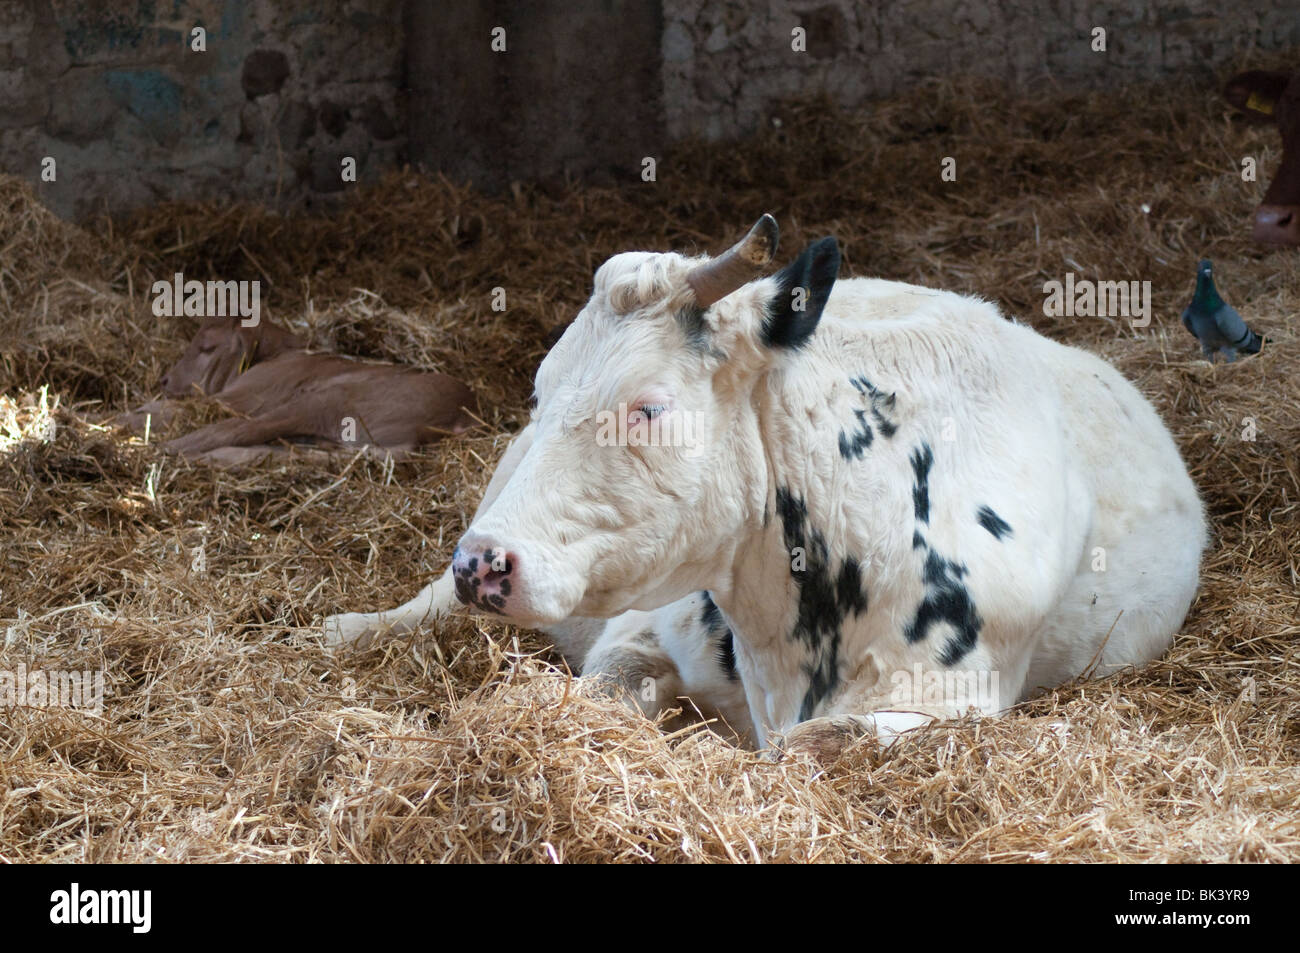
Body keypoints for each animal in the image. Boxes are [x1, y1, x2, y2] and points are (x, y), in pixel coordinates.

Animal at [152, 315, 478, 465]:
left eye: (206, 348)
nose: (165, 380)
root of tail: (463, 414)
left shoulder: (243, 396)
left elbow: (175, 409)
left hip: (326, 400)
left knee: (232, 430)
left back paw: (172, 450)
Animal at [327, 213, 1206, 759]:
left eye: (649, 407)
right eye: (541, 391)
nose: (484, 563)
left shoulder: (955, 694)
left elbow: (812, 747)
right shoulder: (642, 630)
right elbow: (607, 690)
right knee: (417, 607)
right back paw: (344, 627)